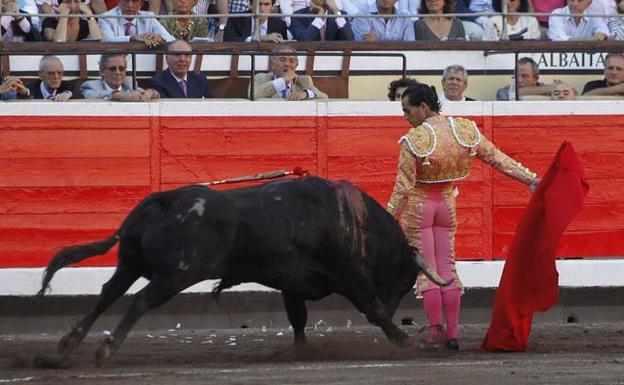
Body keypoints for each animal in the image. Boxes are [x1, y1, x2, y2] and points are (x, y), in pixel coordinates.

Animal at [37, 176, 448, 364]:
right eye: (406, 280)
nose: (398, 309)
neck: (355, 221)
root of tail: (166, 198)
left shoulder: (292, 284)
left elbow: (298, 319)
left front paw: (302, 351)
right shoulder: (350, 273)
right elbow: (372, 308)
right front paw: (402, 339)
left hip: (130, 264)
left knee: (108, 294)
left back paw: (67, 343)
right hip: (175, 275)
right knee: (139, 301)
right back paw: (106, 348)